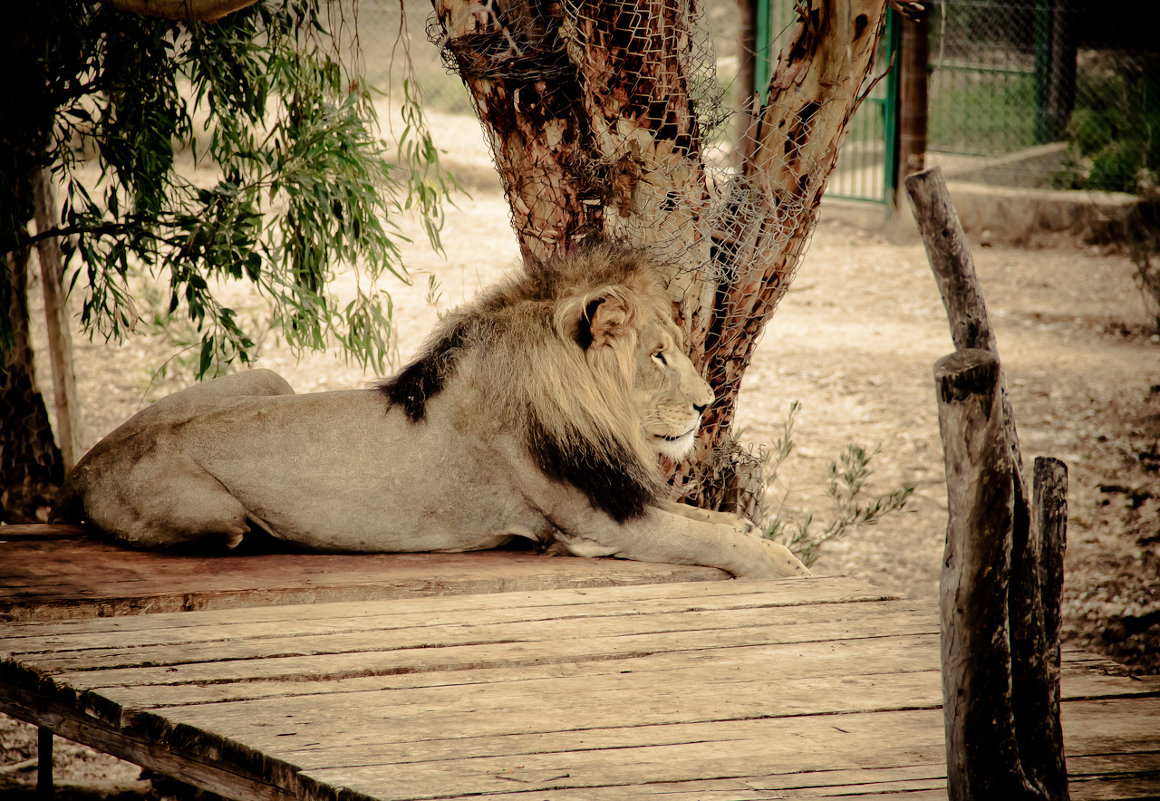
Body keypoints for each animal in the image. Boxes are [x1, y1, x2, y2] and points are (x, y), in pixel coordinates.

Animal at [61, 242, 807, 577]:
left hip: (269, 377)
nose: (707, 404)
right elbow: (714, 539)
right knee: (233, 529)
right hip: (220, 518)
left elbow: (716, 519)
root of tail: (82, 466)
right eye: (657, 356)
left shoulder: (620, 496)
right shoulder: (594, 518)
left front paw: (757, 534)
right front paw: (785, 564)